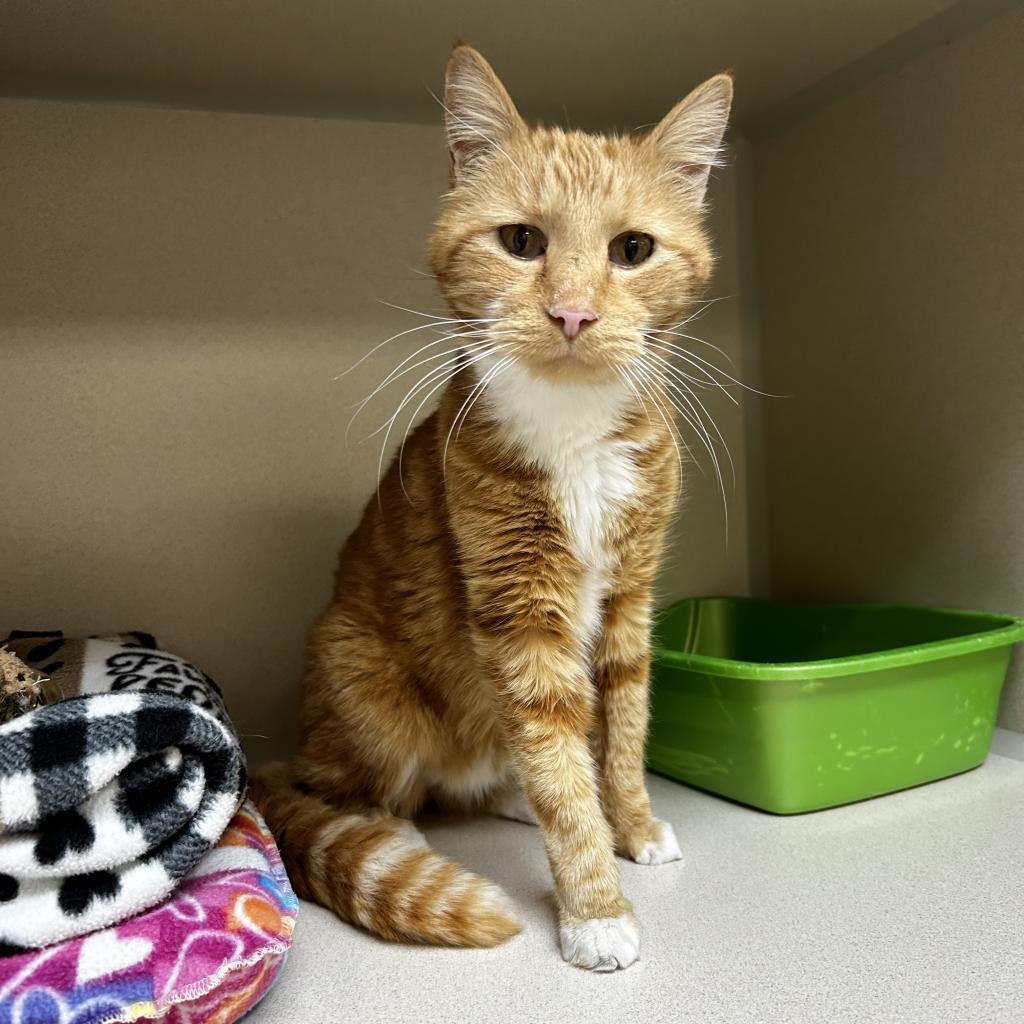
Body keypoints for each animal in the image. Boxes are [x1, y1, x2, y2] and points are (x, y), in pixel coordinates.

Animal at [251, 44, 733, 970]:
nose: (573, 312)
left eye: (633, 248)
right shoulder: (521, 613)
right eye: (521, 241)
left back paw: (506, 793)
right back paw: (387, 824)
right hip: (359, 676)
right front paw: (594, 908)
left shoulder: (630, 600)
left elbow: (622, 731)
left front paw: (632, 824)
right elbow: (558, 763)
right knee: (356, 790)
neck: (574, 430)